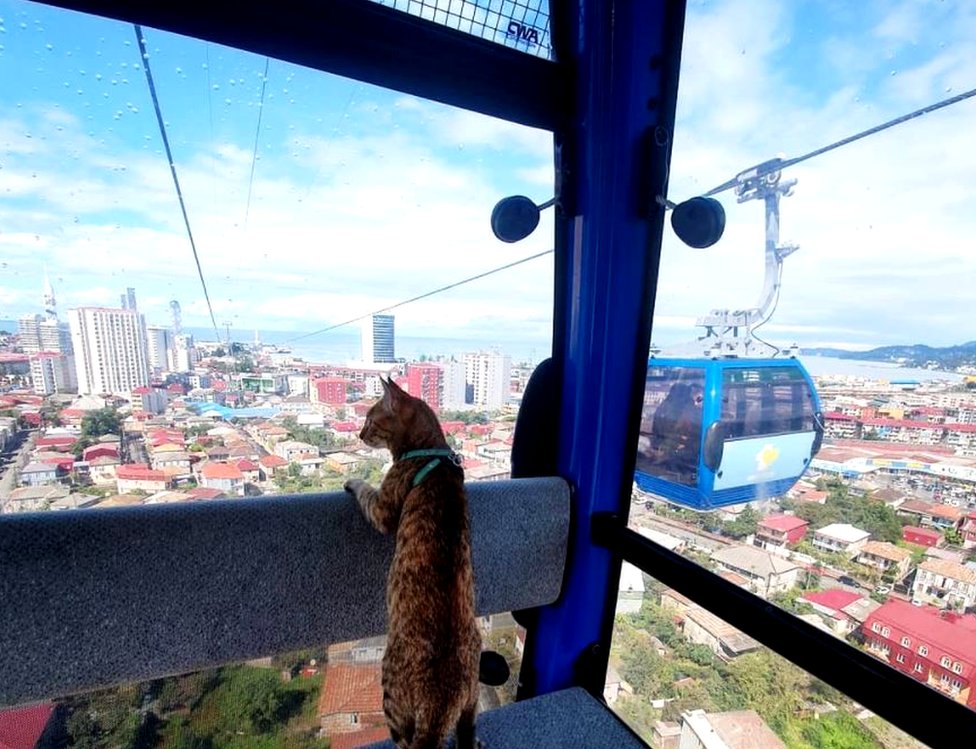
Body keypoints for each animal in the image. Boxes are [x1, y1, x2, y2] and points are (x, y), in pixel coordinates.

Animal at [346, 376, 482, 748]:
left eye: (370, 420)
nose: (360, 434)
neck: (431, 450)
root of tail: (441, 700)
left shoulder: (382, 509)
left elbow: (365, 491)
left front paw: (352, 481)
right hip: (472, 699)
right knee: (466, 732)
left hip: (390, 689)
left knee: (404, 740)